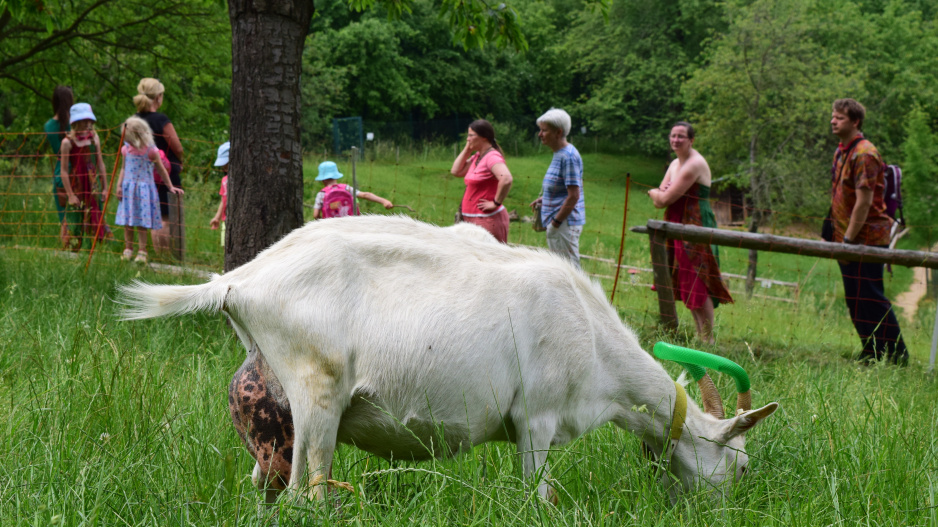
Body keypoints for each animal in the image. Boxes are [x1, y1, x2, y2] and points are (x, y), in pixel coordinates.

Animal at [117, 214, 776, 504]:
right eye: (743, 467)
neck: (594, 340)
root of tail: (239, 282)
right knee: (310, 489)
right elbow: (536, 494)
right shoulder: (536, 417)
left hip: (272, 410)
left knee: (268, 484)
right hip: (316, 390)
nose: (730, 512)